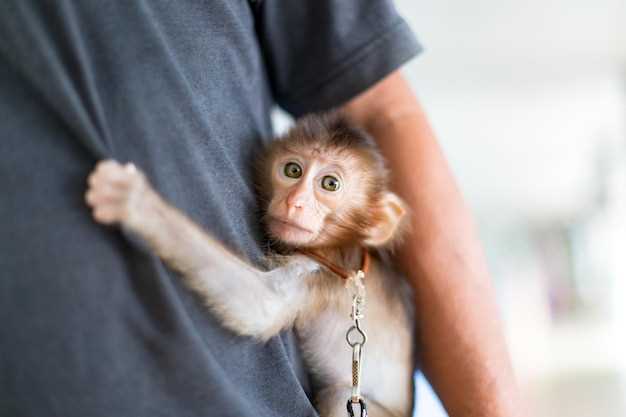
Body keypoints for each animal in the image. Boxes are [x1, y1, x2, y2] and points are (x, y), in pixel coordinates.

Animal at [84, 114, 414, 416]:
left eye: (330, 184)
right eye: (293, 170)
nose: (294, 202)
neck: (342, 246)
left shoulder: (323, 271)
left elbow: (261, 304)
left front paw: (135, 202)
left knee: (339, 396)